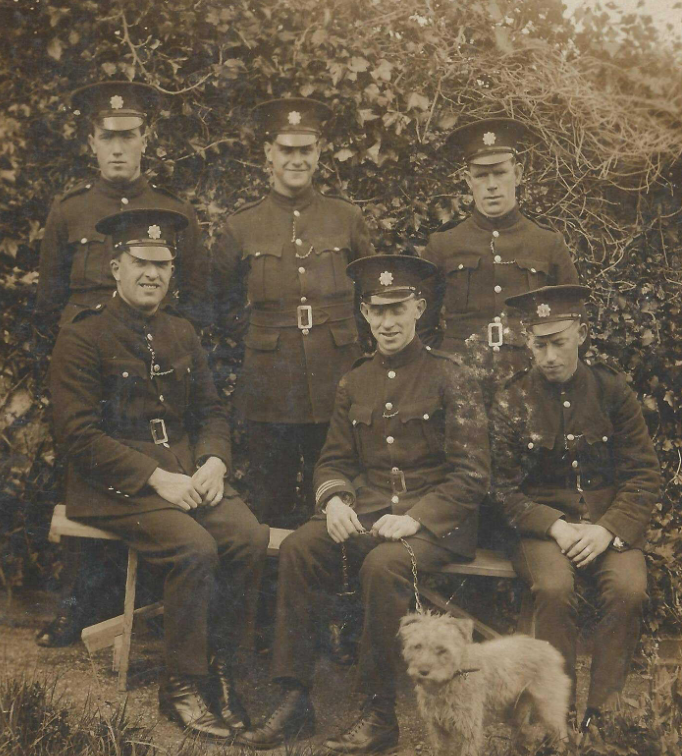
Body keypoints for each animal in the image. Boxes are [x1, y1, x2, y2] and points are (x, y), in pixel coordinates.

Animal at [399, 612, 570, 756]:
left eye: (442, 650)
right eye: (417, 646)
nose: (423, 671)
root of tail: (548, 647)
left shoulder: (469, 731)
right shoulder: (437, 729)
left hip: (550, 708)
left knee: (561, 733)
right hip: (517, 711)